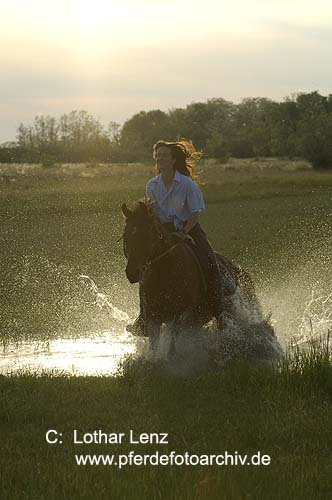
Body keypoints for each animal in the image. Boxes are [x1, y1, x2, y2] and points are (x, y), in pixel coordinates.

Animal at [121, 201, 256, 354]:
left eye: (147, 235)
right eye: (126, 236)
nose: (132, 272)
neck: (165, 273)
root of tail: (235, 267)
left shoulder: (182, 314)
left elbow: (172, 347)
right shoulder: (152, 317)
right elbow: (154, 349)